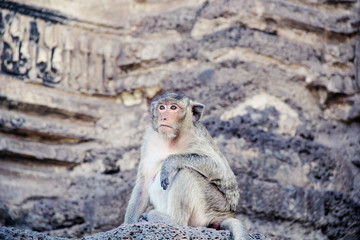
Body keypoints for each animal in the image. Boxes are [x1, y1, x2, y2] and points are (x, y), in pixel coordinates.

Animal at [124, 92, 248, 240]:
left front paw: (170, 162)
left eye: (173, 107)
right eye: (161, 107)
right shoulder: (150, 140)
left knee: (187, 172)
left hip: (214, 205)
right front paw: (127, 225)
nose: (164, 117)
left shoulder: (196, 138)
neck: (171, 140)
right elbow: (143, 184)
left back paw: (173, 220)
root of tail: (227, 213)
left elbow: (219, 167)